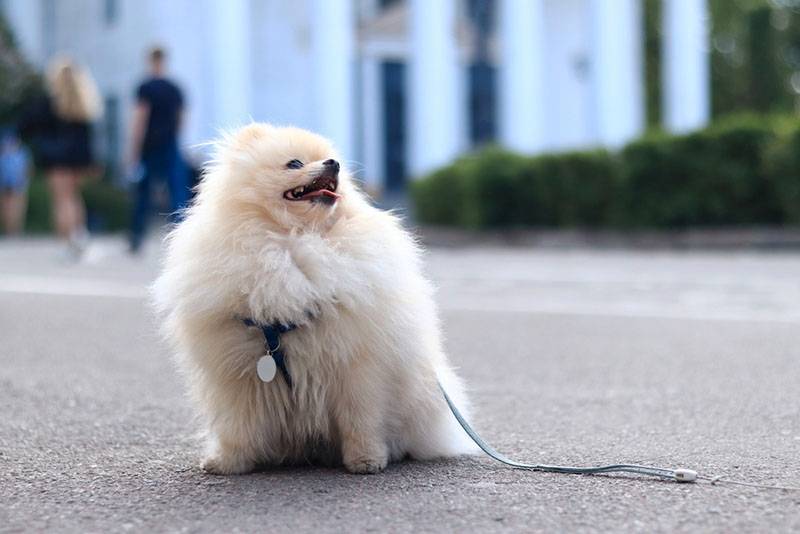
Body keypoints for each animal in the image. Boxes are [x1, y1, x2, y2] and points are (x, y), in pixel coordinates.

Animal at [153, 125, 472, 478]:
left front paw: (366, 459)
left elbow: (361, 419)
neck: (294, 238)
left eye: (331, 160)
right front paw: (228, 462)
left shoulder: (357, 367)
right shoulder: (235, 374)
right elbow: (237, 424)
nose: (334, 163)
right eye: (294, 163)